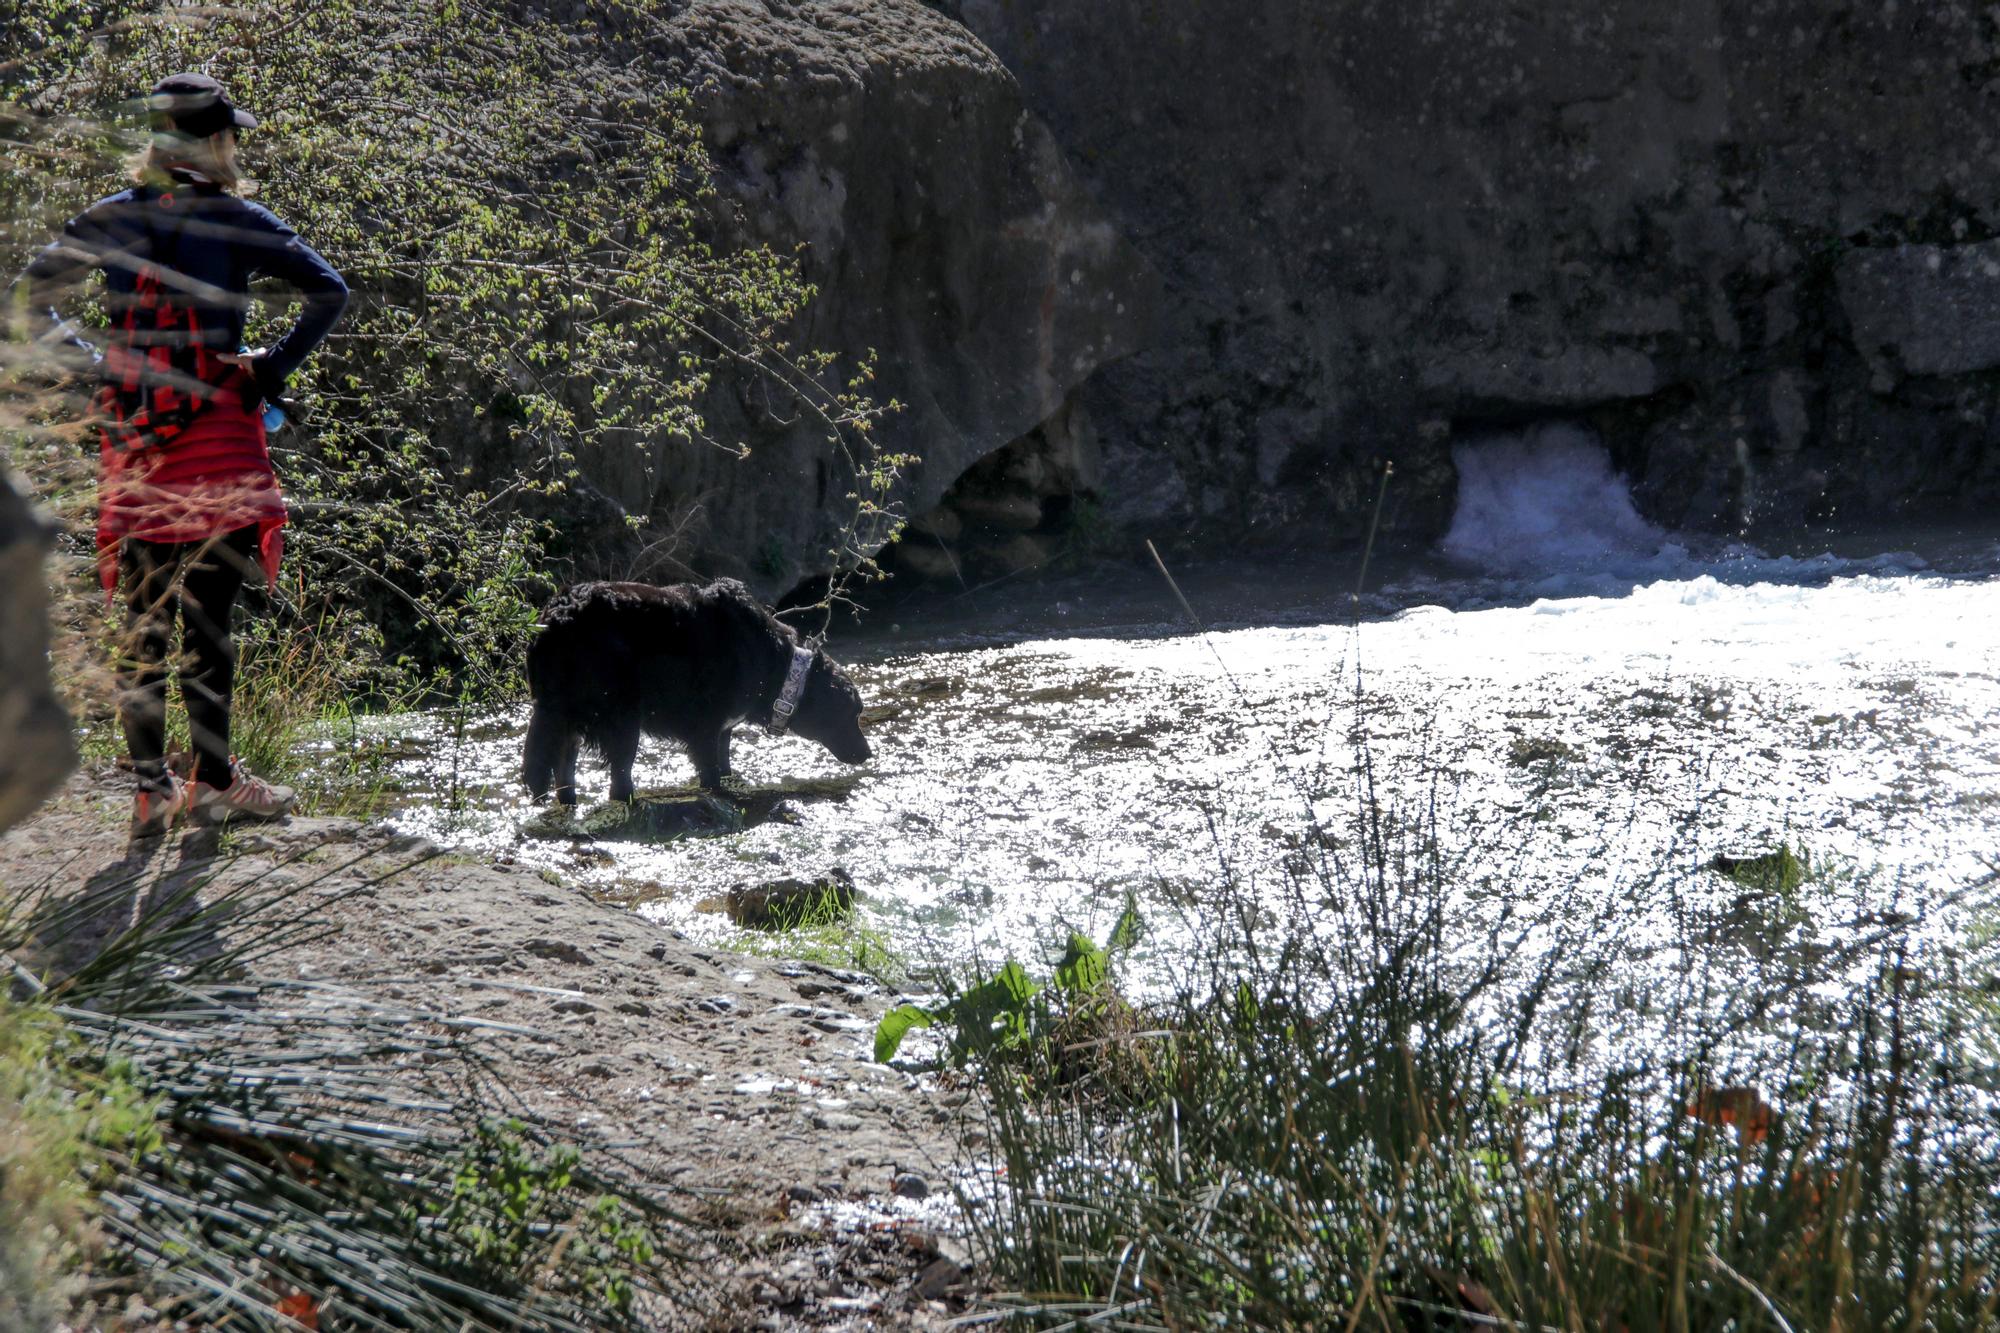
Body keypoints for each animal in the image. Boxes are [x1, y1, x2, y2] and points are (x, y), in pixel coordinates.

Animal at [528, 572, 872, 800]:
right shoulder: (704, 728)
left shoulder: (723, 729)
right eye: (852, 714)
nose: (868, 755)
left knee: (565, 769)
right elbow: (711, 772)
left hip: (565, 717)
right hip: (622, 717)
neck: (773, 661)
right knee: (618, 778)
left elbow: (724, 762)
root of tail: (557, 616)